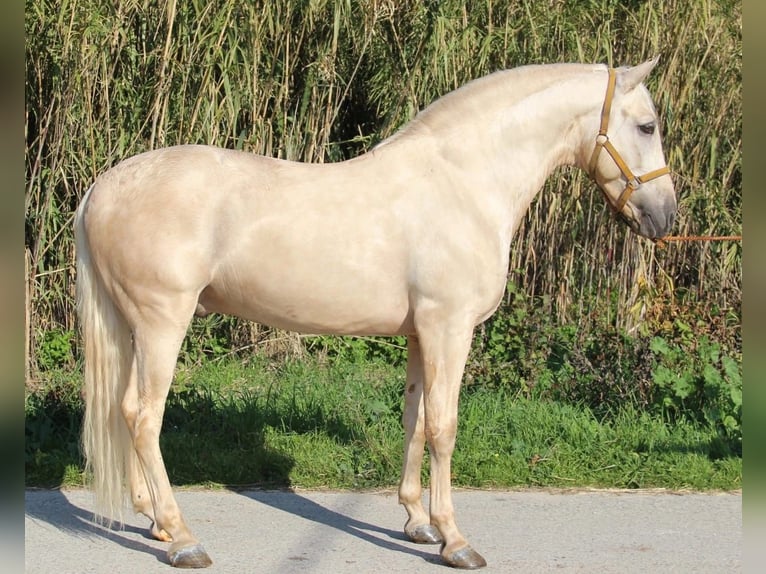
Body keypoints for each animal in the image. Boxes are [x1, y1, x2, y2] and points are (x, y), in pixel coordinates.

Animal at [76, 59, 680, 572]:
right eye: (647, 126)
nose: (666, 216)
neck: (464, 183)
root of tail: (102, 189)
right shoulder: (448, 329)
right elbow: (444, 426)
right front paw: (455, 540)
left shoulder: (420, 333)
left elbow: (414, 418)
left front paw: (417, 522)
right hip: (163, 323)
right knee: (144, 417)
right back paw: (182, 539)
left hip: (133, 328)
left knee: (123, 410)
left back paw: (154, 521)